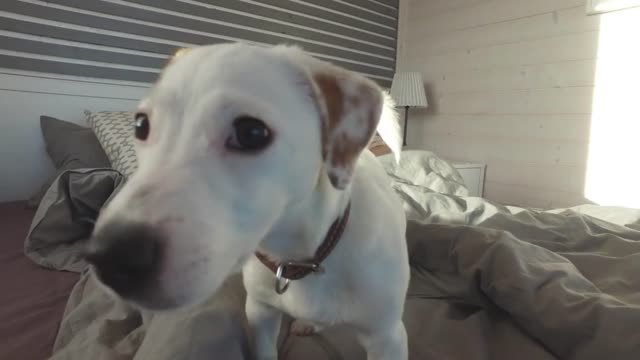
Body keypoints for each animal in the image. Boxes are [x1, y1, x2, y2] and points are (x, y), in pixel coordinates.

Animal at [86, 43, 410, 360]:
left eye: (250, 132)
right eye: (141, 125)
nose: (110, 257)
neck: (305, 257)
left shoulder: (388, 338)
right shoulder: (260, 314)